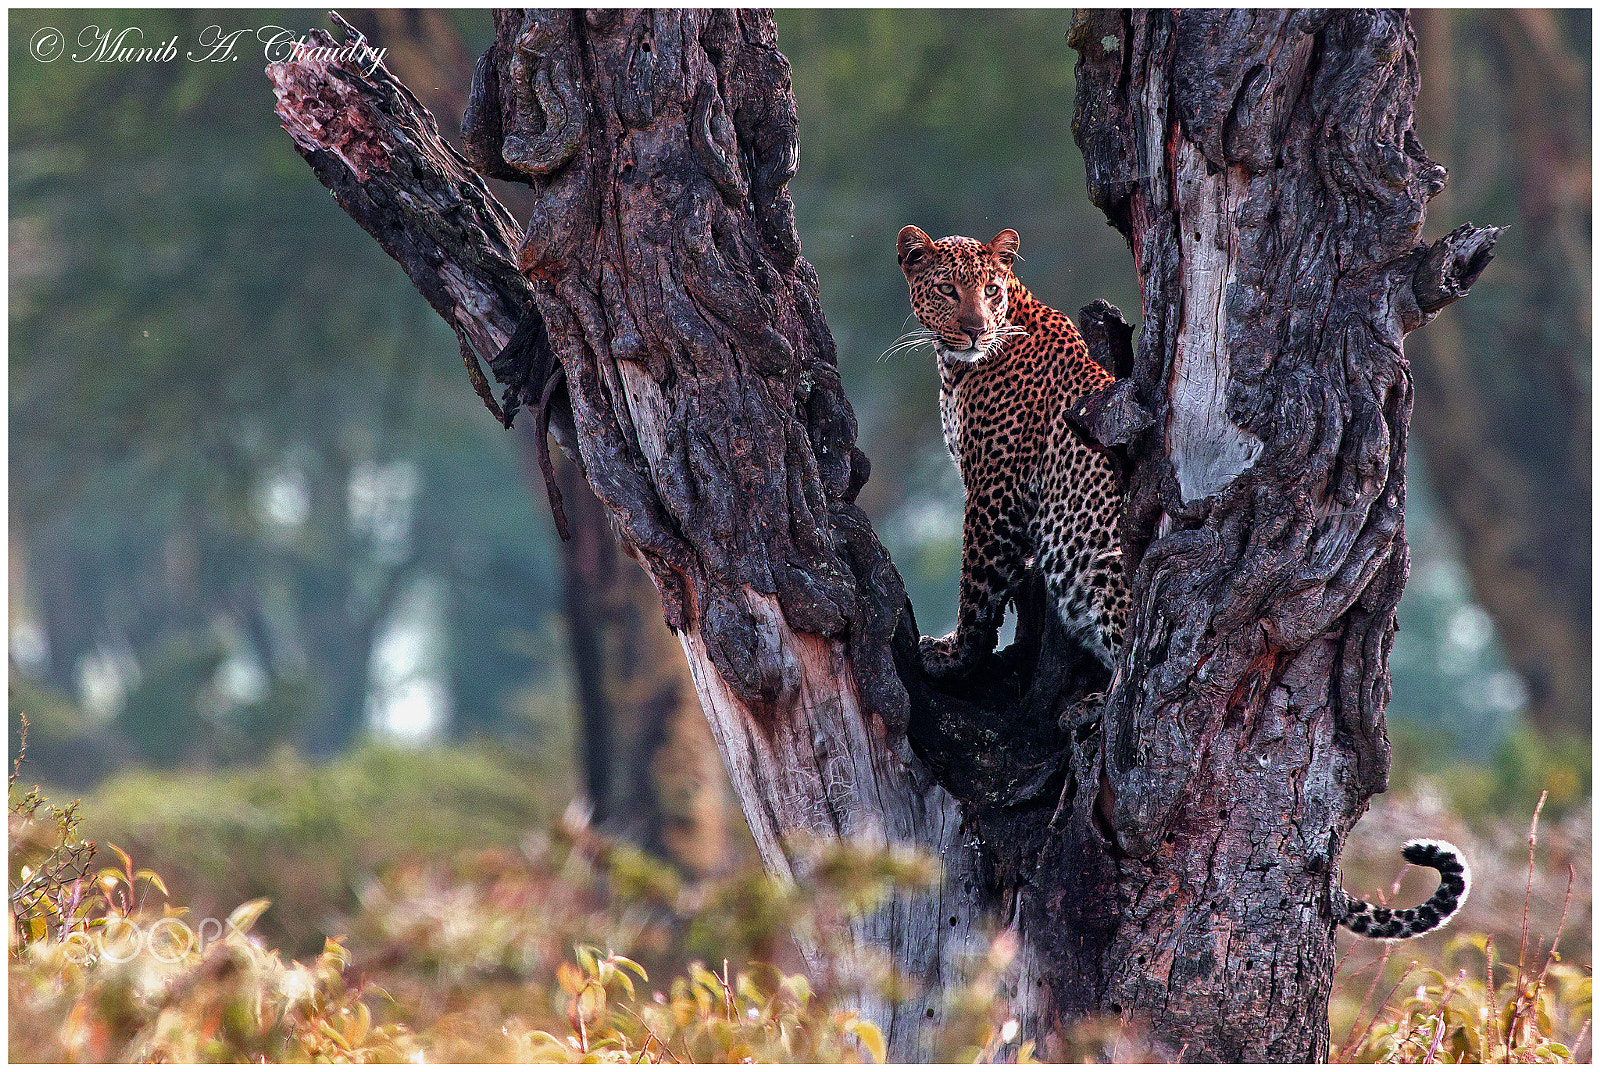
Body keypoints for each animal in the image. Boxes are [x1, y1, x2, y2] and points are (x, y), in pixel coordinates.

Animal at [896, 225, 1132, 681]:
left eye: (990, 290)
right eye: (947, 289)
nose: (974, 329)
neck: (955, 369)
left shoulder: (994, 486)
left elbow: (976, 579)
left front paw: (955, 654)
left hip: (1106, 559)